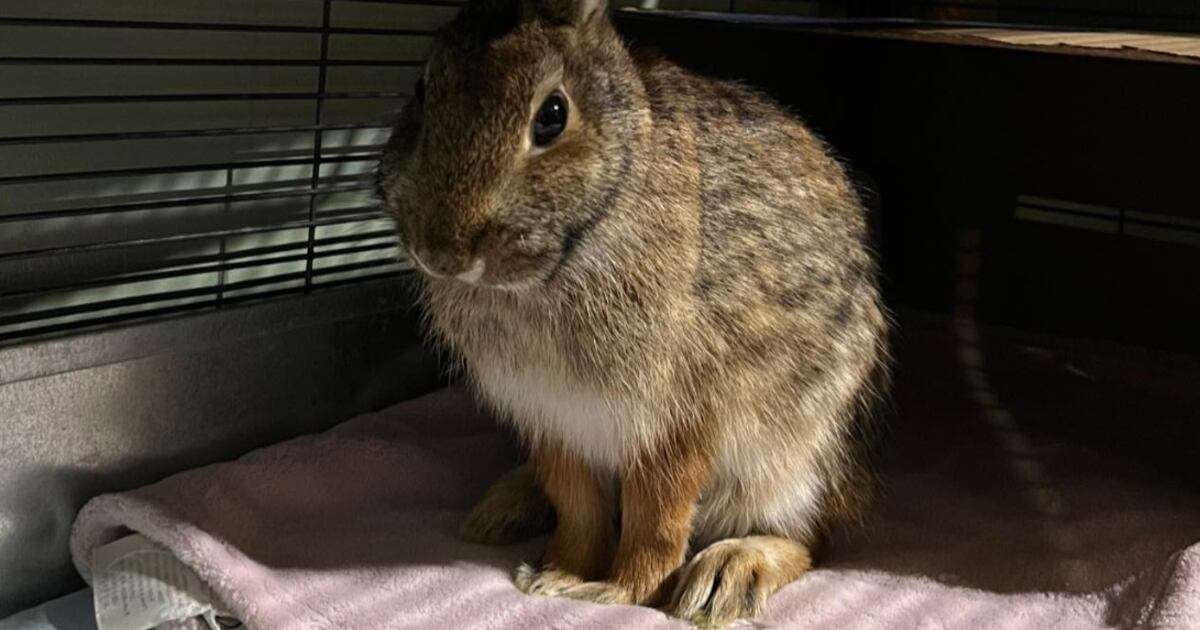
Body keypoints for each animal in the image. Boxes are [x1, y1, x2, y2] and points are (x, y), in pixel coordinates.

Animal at [376, 0, 891, 625]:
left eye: (552, 116)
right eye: (423, 89)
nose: (441, 251)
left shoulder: (678, 417)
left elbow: (656, 517)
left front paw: (618, 593)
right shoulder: (555, 416)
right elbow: (578, 506)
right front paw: (557, 576)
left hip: (800, 454)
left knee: (809, 536)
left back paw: (727, 575)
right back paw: (503, 508)